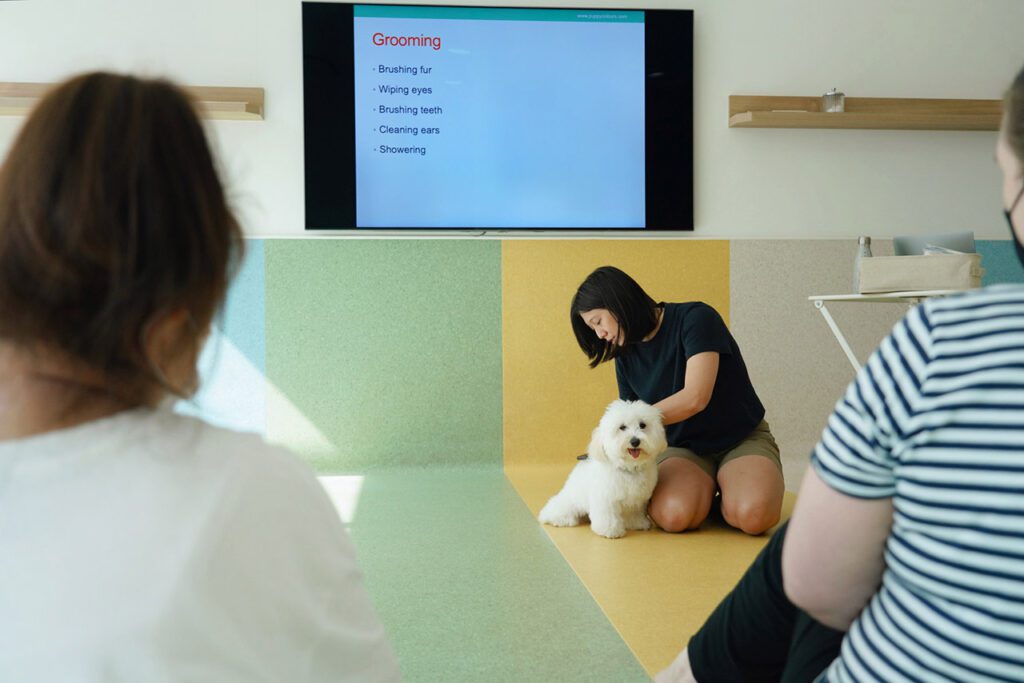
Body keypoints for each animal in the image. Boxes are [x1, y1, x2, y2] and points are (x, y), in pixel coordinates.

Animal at [540, 401, 667, 540]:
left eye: (642, 425)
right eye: (622, 427)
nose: (635, 441)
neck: (628, 468)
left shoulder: (636, 500)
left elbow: (632, 513)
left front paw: (636, 523)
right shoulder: (605, 498)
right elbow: (607, 516)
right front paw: (610, 530)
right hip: (570, 502)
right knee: (555, 508)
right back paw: (559, 519)